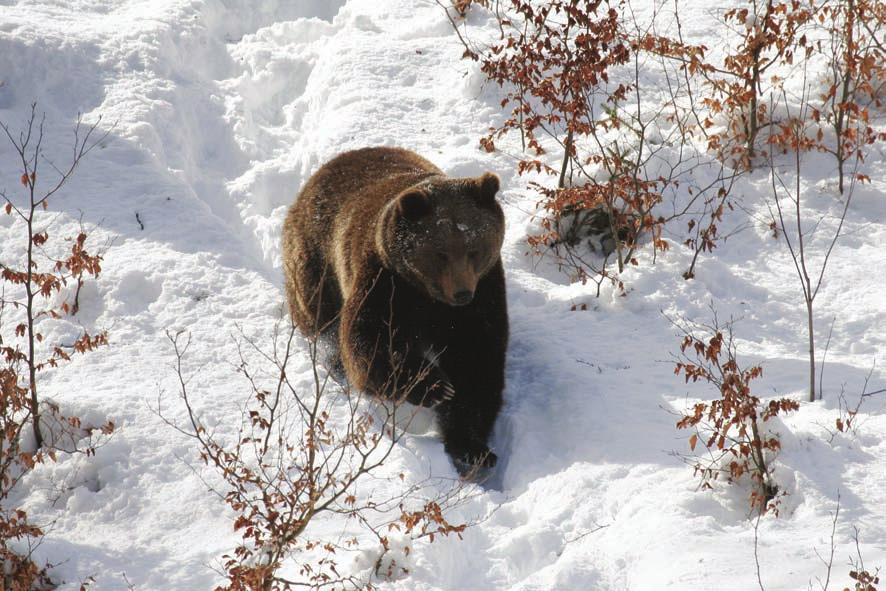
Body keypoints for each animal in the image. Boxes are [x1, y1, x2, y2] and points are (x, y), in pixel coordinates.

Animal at [280, 146, 510, 474]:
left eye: (474, 249)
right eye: (440, 253)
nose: (462, 292)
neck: (429, 296)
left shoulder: (484, 294)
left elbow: (476, 362)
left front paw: (473, 448)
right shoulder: (386, 282)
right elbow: (372, 340)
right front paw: (433, 385)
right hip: (317, 262)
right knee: (323, 323)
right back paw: (333, 360)